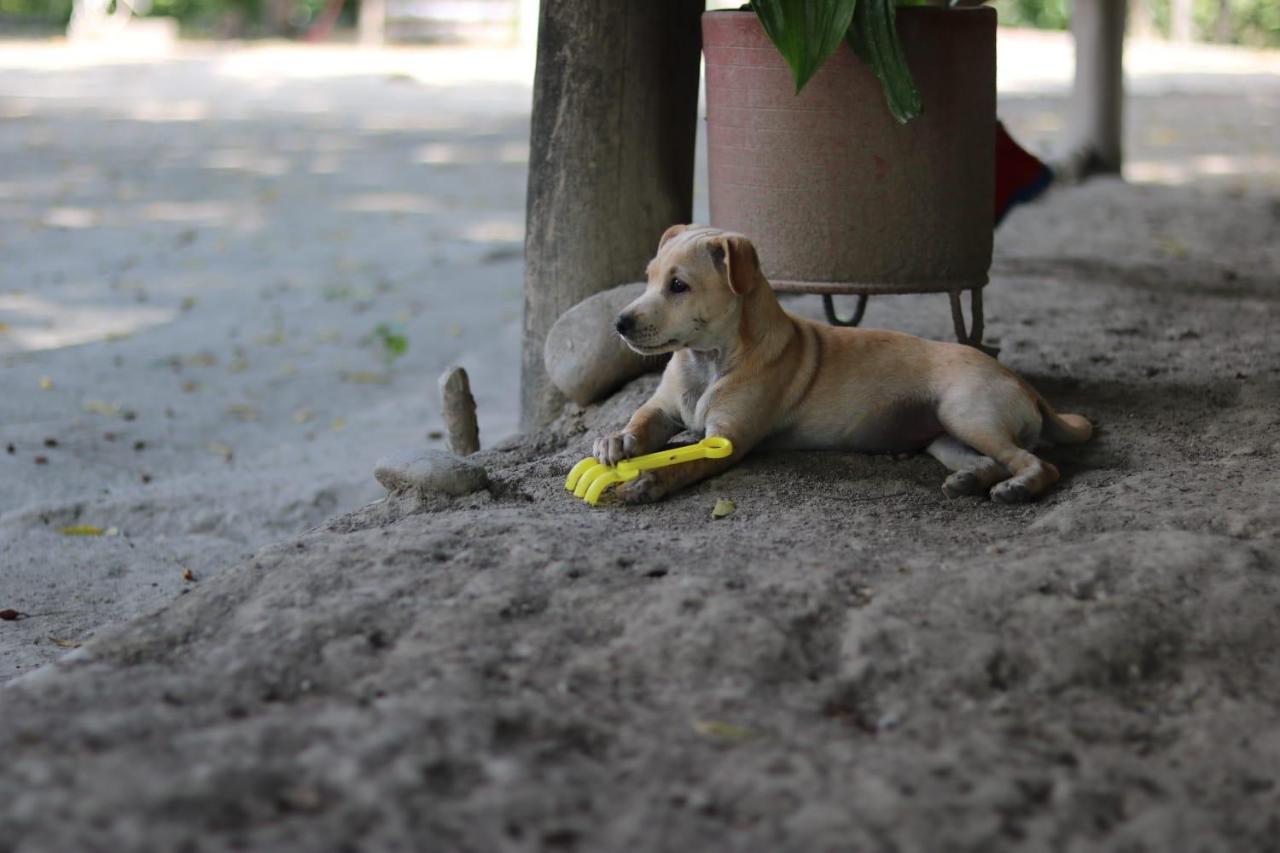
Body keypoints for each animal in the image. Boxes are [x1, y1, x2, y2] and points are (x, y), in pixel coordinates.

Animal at [593, 225, 1095, 504]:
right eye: (648, 278)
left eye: (678, 285)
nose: (618, 323)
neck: (709, 359)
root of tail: (1026, 387)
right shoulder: (663, 408)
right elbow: (641, 419)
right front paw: (617, 440)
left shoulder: (727, 440)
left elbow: (686, 461)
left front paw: (649, 478)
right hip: (946, 437)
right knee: (993, 461)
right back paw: (970, 479)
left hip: (969, 413)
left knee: (1037, 464)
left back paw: (1018, 489)